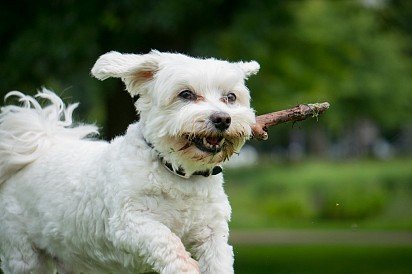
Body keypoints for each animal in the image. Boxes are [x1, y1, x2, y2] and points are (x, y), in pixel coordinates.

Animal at [0, 50, 258, 272]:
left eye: (230, 97)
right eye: (185, 94)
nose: (222, 119)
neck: (178, 173)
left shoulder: (212, 231)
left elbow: (218, 258)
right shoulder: (130, 222)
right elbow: (166, 241)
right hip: (23, 255)